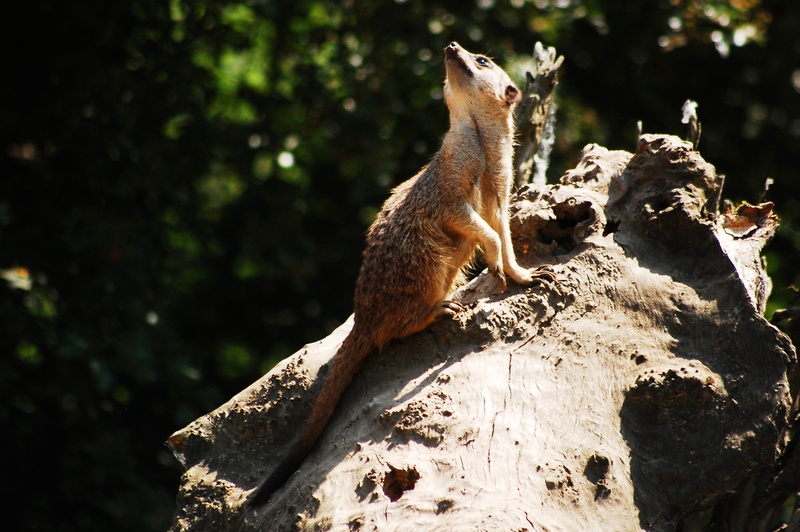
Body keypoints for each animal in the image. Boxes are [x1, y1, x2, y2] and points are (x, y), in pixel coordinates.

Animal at [248, 42, 554, 507]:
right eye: (465, 53)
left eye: (482, 60)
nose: (451, 46)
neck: (479, 143)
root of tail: (364, 318)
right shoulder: (448, 188)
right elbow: (477, 226)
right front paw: (498, 264)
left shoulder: (502, 186)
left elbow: (502, 227)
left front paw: (520, 274)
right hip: (421, 258)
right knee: (397, 325)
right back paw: (438, 310)